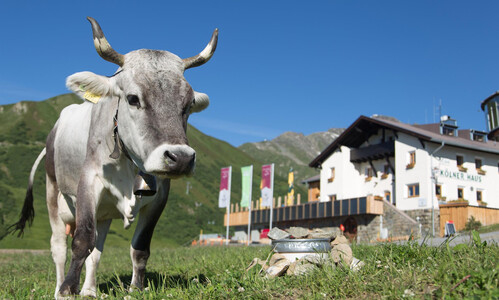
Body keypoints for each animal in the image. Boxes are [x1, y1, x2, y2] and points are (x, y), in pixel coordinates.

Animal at [9, 17, 217, 298]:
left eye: (188, 104)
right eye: (133, 98)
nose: (181, 158)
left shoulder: (160, 196)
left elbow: (139, 248)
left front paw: (136, 288)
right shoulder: (89, 181)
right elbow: (81, 240)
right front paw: (67, 289)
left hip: (104, 212)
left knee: (97, 250)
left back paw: (90, 290)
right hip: (53, 190)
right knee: (58, 247)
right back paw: (59, 288)